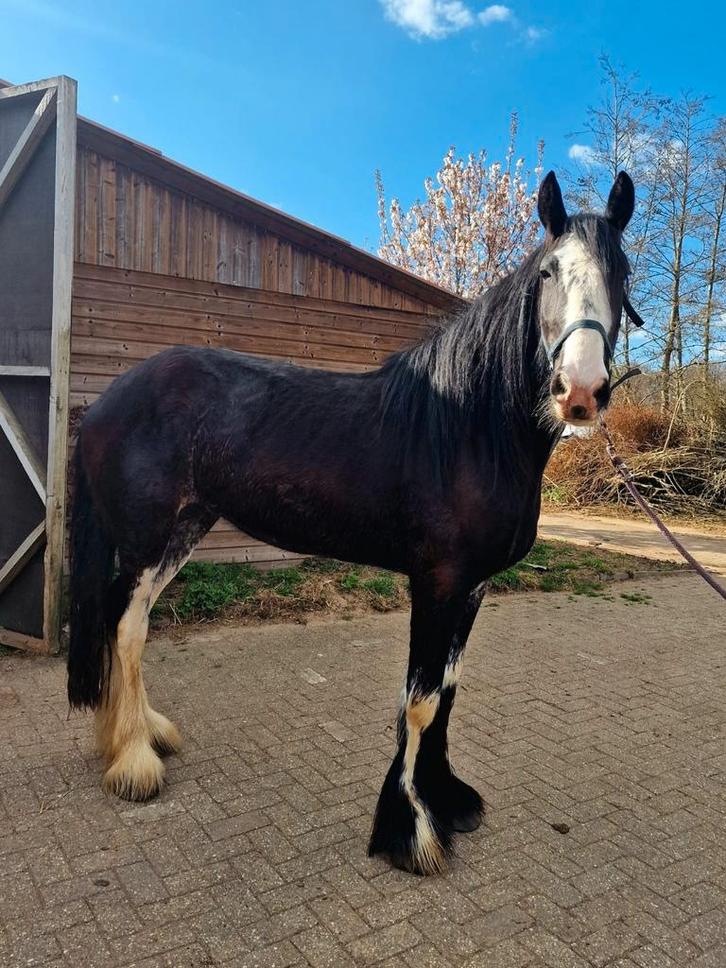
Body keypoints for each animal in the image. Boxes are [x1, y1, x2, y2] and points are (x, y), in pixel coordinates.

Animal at [67, 170, 635, 875]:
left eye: (622, 273)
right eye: (551, 271)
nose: (579, 391)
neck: (467, 429)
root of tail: (106, 402)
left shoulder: (473, 587)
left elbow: (447, 691)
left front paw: (447, 800)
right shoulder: (438, 583)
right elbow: (420, 702)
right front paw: (409, 830)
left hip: (182, 531)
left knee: (133, 624)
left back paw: (149, 735)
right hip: (145, 539)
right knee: (124, 628)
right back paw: (135, 762)